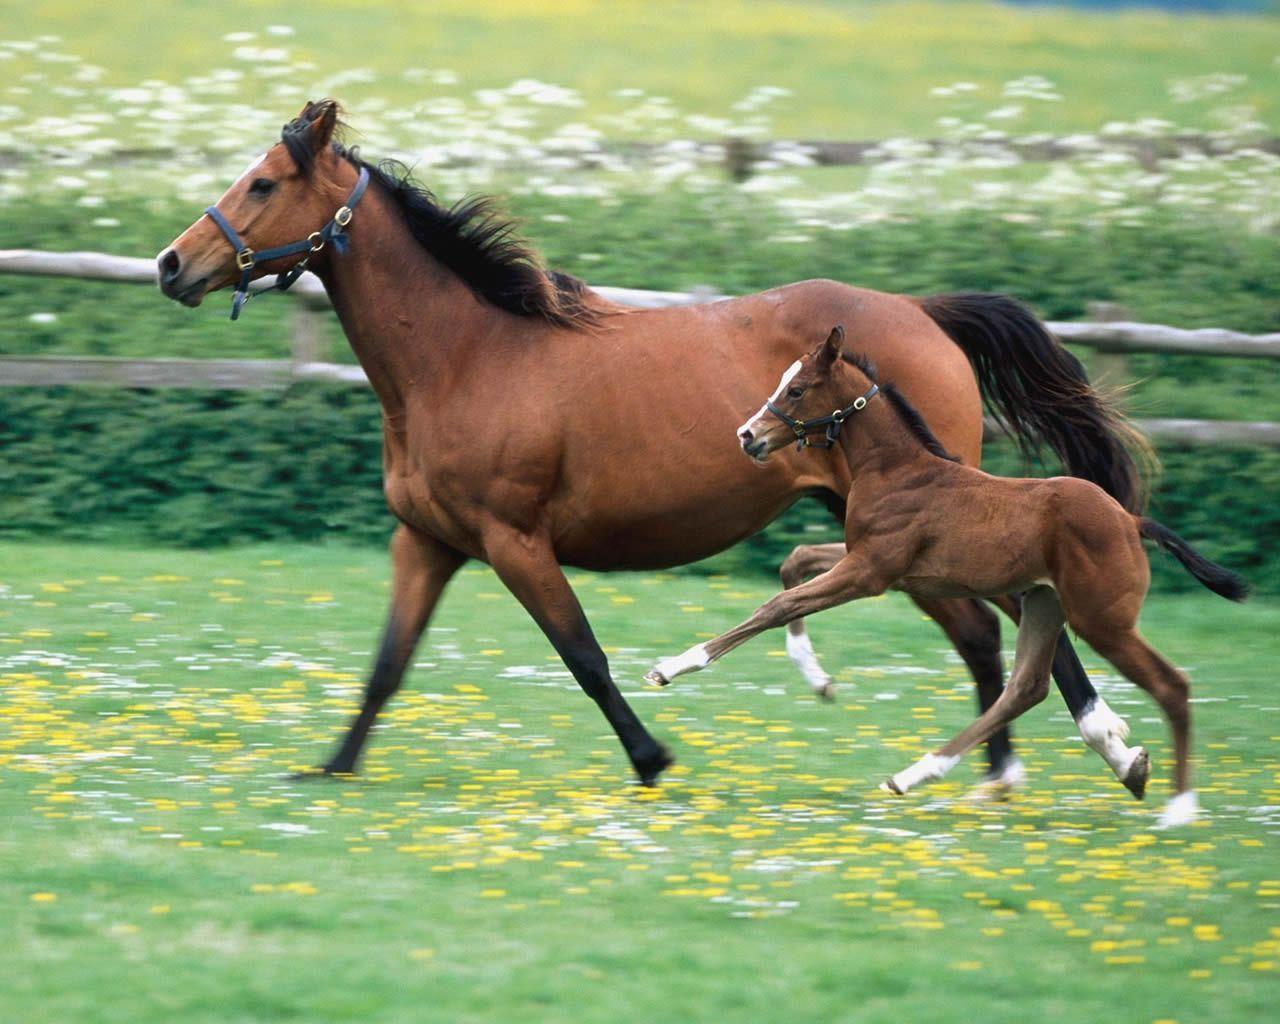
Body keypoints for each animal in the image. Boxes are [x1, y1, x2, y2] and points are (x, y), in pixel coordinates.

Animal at [155, 99, 1152, 791]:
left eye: (263, 184)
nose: (171, 266)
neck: (465, 357)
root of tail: (923, 312)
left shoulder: (515, 542)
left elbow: (585, 657)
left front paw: (653, 758)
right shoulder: (428, 542)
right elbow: (386, 666)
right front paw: (330, 769)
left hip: (925, 520)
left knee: (1008, 627)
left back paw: (1087, 752)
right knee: (989, 631)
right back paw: (1013, 770)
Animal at [646, 326, 1248, 827]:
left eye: (796, 390)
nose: (747, 436)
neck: (898, 469)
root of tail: (1129, 519)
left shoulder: (869, 572)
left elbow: (777, 605)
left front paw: (671, 667)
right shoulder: (871, 561)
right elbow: (794, 563)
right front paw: (814, 674)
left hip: (1102, 620)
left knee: (1171, 684)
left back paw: (1179, 808)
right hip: (1044, 604)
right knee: (1025, 688)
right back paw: (915, 774)